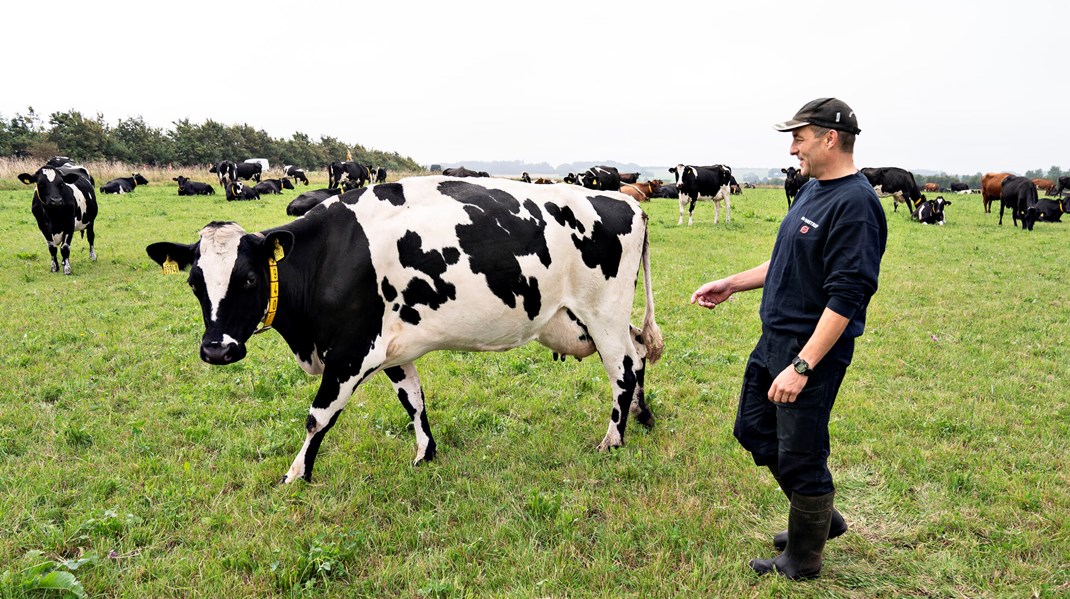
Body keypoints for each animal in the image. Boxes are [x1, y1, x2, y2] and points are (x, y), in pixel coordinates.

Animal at [142, 175, 659, 483]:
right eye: (193, 281)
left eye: (249, 278)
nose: (217, 350)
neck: (327, 256)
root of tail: (623, 200)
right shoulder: (392, 347)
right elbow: (414, 400)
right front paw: (425, 454)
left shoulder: (351, 352)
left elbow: (317, 417)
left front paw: (296, 476)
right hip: (595, 318)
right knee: (638, 355)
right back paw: (642, 416)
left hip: (603, 314)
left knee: (623, 369)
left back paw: (613, 439)